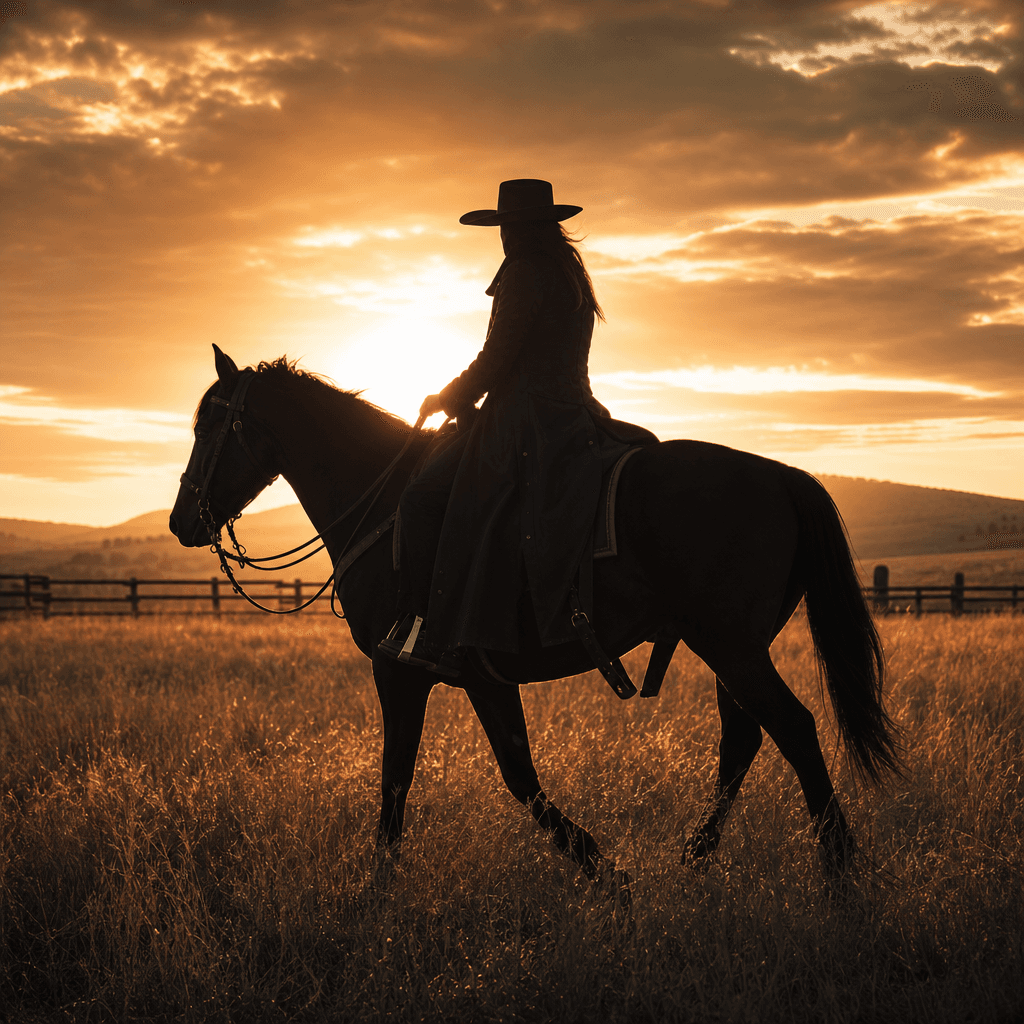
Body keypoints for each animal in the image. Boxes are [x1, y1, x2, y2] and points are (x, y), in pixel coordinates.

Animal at [170, 346, 901, 886]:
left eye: (209, 427)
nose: (182, 521)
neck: (385, 501)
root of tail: (782, 476)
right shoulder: (476, 676)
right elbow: (497, 775)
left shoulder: (409, 670)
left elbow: (433, 777)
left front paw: (599, 869)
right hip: (733, 646)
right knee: (746, 736)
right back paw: (695, 857)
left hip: (730, 644)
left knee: (793, 727)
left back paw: (838, 866)